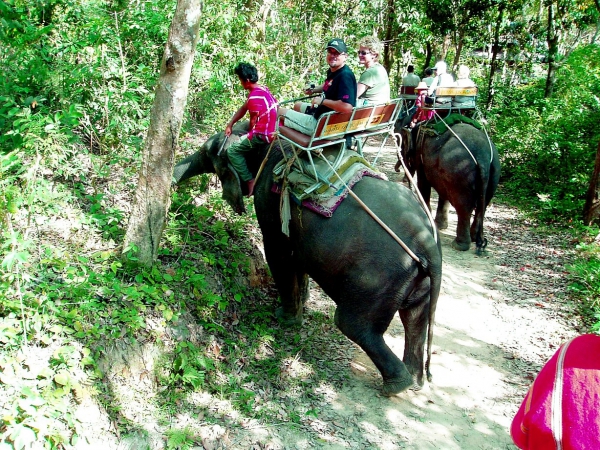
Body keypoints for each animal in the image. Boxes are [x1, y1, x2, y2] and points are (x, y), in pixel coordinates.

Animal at [173, 122, 440, 394]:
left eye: (209, 153)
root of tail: (428, 242)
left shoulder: (270, 199)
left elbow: (278, 252)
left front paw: (286, 319)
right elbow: (297, 258)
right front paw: (302, 302)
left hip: (377, 278)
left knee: (354, 325)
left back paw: (397, 386)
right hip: (414, 278)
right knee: (414, 319)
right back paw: (415, 381)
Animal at [394, 119, 502, 253]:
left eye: (402, 149)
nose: (398, 170)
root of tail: (483, 154)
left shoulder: (421, 154)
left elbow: (423, 184)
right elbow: (442, 192)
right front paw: (439, 226)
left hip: (459, 170)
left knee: (463, 207)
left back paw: (459, 245)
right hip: (494, 171)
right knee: (483, 204)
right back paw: (474, 239)